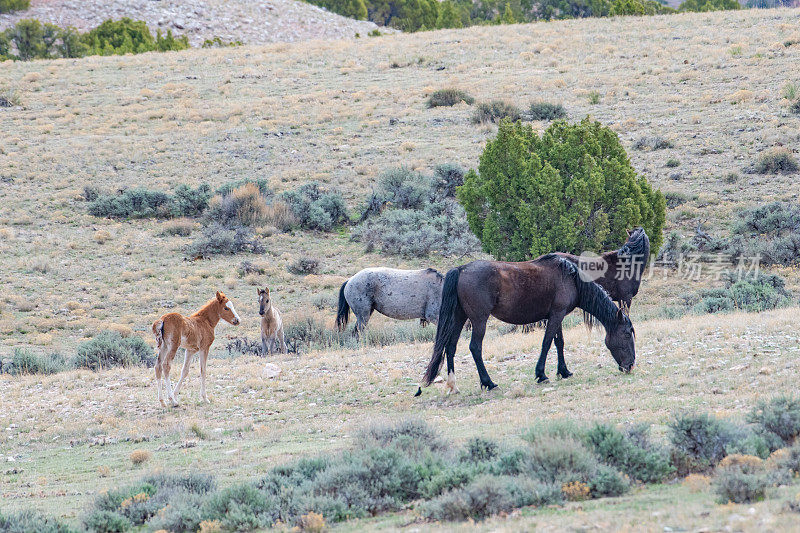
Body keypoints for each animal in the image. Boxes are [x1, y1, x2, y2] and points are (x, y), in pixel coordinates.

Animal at [416, 251, 636, 392]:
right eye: (627, 334)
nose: (630, 366)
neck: (570, 278)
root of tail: (461, 269)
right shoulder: (556, 315)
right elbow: (547, 343)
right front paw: (541, 374)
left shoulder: (556, 316)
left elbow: (559, 342)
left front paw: (564, 371)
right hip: (479, 320)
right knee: (475, 348)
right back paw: (488, 383)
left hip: (460, 317)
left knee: (450, 346)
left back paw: (453, 385)